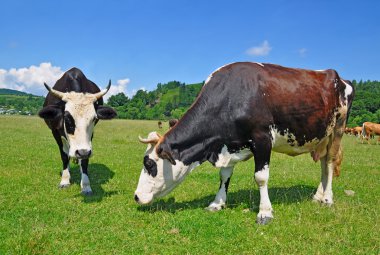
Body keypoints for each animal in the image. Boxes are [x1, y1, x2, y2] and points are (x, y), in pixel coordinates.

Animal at [38, 67, 116, 195]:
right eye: (67, 118)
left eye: (94, 119)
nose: (82, 152)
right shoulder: (55, 133)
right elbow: (64, 156)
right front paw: (65, 180)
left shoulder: (89, 138)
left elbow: (84, 161)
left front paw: (85, 185)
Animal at [133, 62, 354, 224]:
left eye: (149, 164)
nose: (136, 196)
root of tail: (338, 76)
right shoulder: (228, 144)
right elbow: (224, 176)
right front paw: (217, 203)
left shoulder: (263, 139)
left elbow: (261, 178)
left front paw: (265, 212)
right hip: (323, 136)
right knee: (324, 164)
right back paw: (318, 195)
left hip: (338, 129)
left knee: (330, 162)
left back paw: (327, 198)